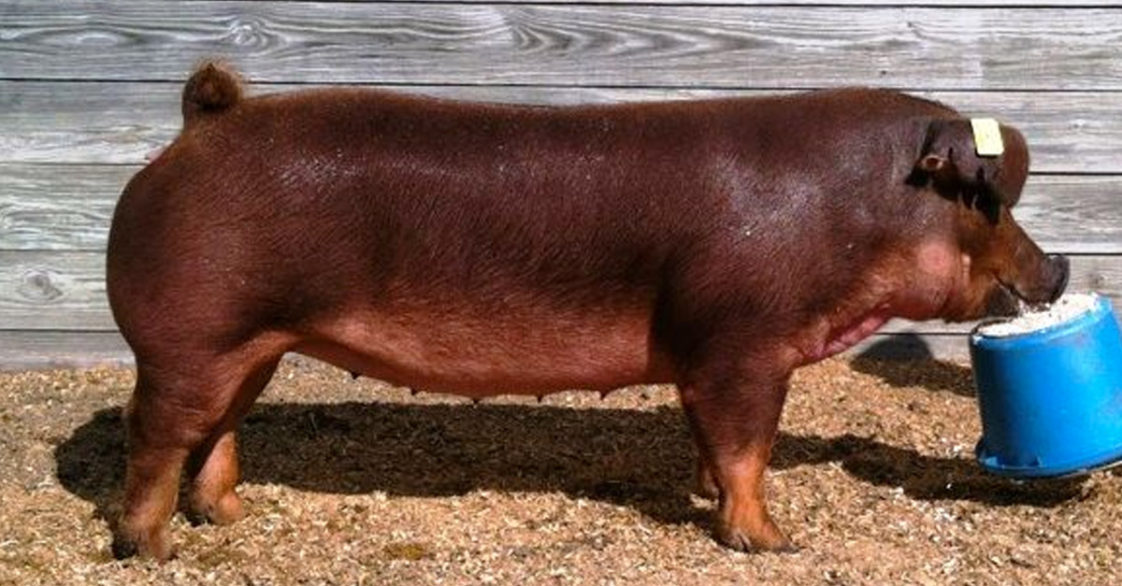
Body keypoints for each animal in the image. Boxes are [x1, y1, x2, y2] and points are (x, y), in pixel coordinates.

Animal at [106, 62, 1068, 560]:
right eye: (986, 200)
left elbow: (715, 442)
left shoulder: (705, 356)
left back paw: (226, 519)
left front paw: (709, 497)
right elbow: (749, 447)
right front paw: (776, 544)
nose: (1059, 269)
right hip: (190, 337)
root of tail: (205, 123)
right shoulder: (743, 342)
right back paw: (150, 550)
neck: (852, 215)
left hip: (252, 344)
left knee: (217, 430)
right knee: (153, 434)